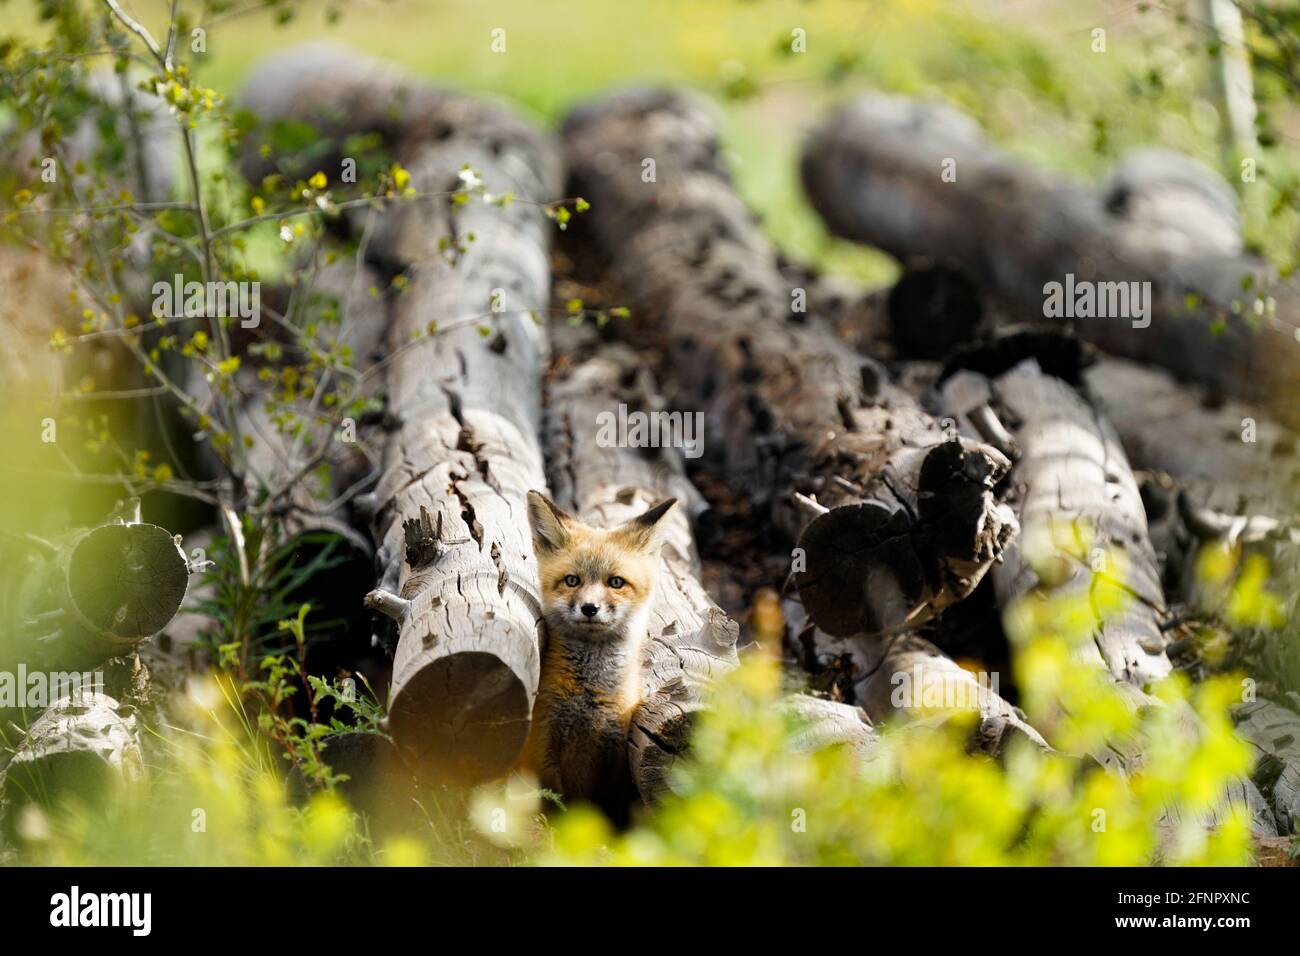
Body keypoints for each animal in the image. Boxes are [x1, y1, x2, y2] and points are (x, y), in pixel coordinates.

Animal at [520, 489, 681, 816]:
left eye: (615, 582)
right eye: (572, 580)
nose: (590, 608)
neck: (589, 696)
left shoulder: (613, 754)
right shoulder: (542, 748)